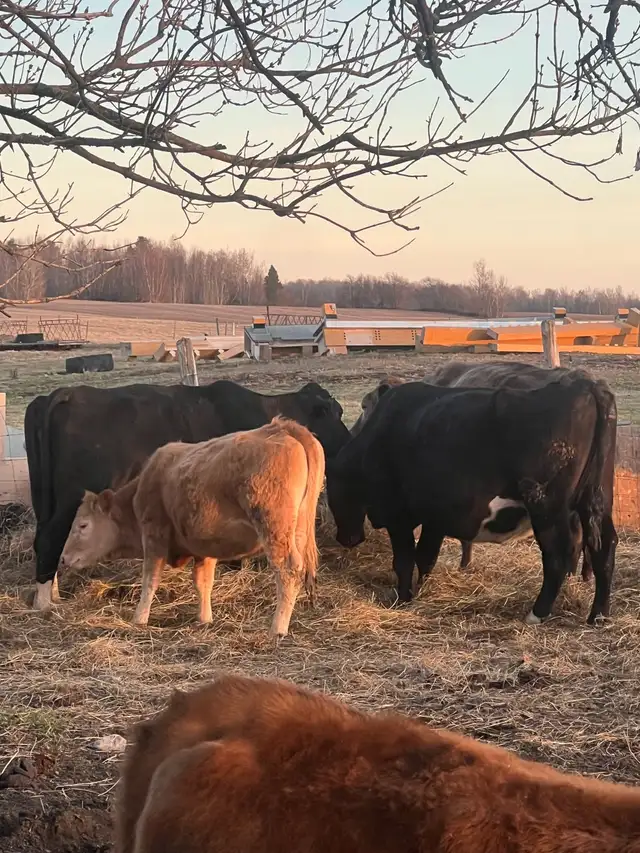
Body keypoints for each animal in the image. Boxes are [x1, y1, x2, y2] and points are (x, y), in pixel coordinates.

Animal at [25, 380, 349, 612]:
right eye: (336, 413)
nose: (349, 439)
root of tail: (67, 393)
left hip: (47, 500)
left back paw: (53, 592)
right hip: (71, 499)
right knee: (50, 538)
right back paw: (44, 603)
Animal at [59, 418, 324, 637]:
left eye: (83, 525)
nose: (63, 558)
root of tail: (282, 427)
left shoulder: (154, 536)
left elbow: (150, 580)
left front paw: (139, 618)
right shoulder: (205, 548)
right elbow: (203, 582)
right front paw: (204, 619)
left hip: (273, 528)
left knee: (288, 570)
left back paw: (277, 628)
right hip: (297, 531)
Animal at [326, 373, 617, 625]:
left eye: (331, 490)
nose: (347, 539)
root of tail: (584, 385)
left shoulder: (398, 516)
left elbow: (405, 560)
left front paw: (403, 598)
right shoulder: (435, 517)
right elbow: (426, 557)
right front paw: (420, 591)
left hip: (546, 506)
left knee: (558, 555)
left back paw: (537, 613)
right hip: (597, 500)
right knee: (604, 547)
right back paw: (598, 615)